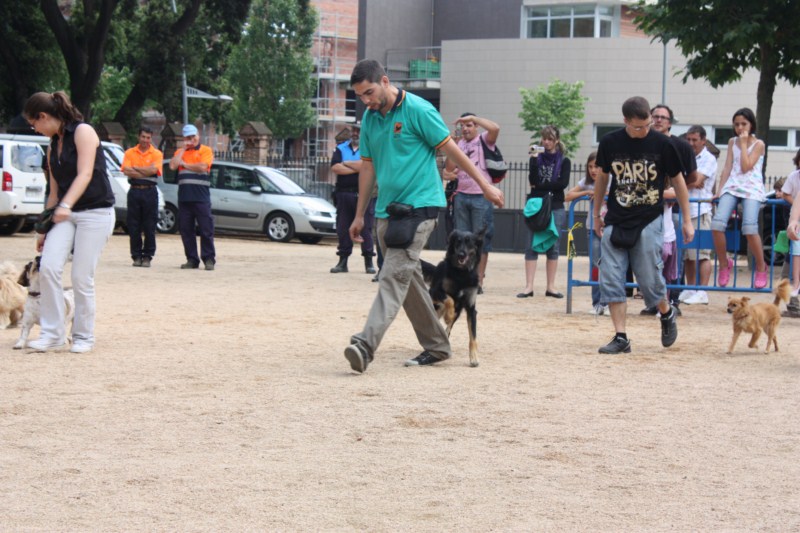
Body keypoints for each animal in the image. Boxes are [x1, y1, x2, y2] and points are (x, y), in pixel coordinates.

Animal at [422, 227, 484, 368]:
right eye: (457, 241)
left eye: (469, 242)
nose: (461, 254)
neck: (462, 273)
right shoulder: (435, 291)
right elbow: (449, 299)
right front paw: (447, 316)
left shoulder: (471, 309)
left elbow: (473, 337)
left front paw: (474, 358)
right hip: (435, 304)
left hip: (459, 310)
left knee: (447, 329)